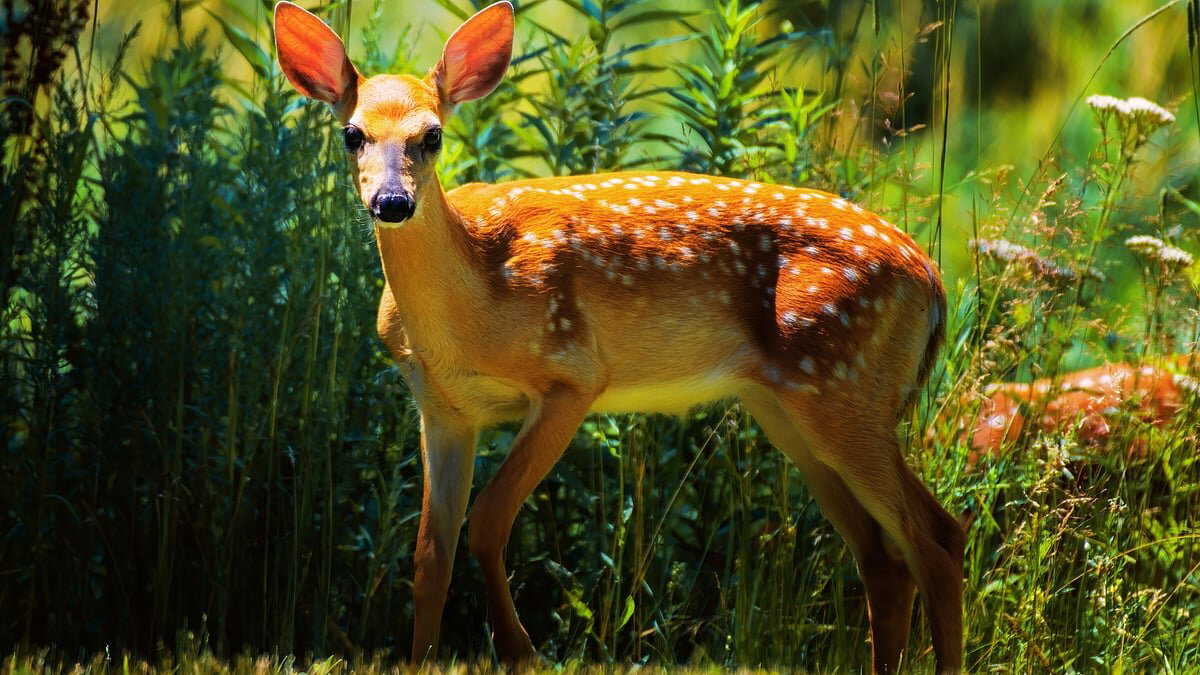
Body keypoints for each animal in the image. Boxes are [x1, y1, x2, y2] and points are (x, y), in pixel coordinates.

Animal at [273, 2, 964, 672]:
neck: (469, 313)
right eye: (352, 133)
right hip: (787, 407)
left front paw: (522, 650)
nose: (392, 201)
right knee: (881, 555)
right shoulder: (443, 408)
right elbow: (428, 554)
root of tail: (933, 280)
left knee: (937, 536)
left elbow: (488, 522)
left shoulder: (573, 375)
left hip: (845, 389)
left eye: (432, 135)